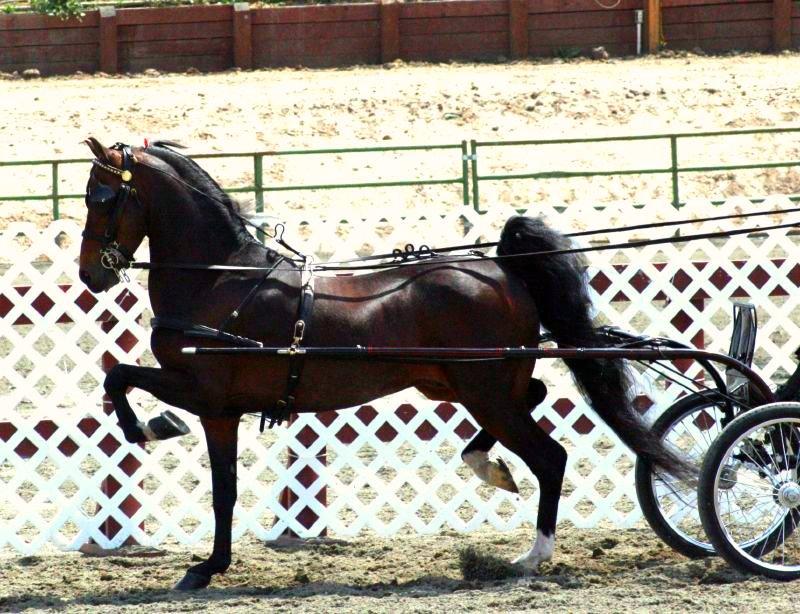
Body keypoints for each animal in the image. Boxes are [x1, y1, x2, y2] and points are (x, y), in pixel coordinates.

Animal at [78, 138, 690, 590]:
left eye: (101, 196)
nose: (91, 274)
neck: (220, 278)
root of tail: (502, 269)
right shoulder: (218, 406)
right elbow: (149, 409)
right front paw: (209, 558)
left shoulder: (207, 397)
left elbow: (131, 389)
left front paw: (157, 438)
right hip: (464, 385)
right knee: (532, 403)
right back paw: (487, 466)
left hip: (484, 391)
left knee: (550, 457)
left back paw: (531, 556)